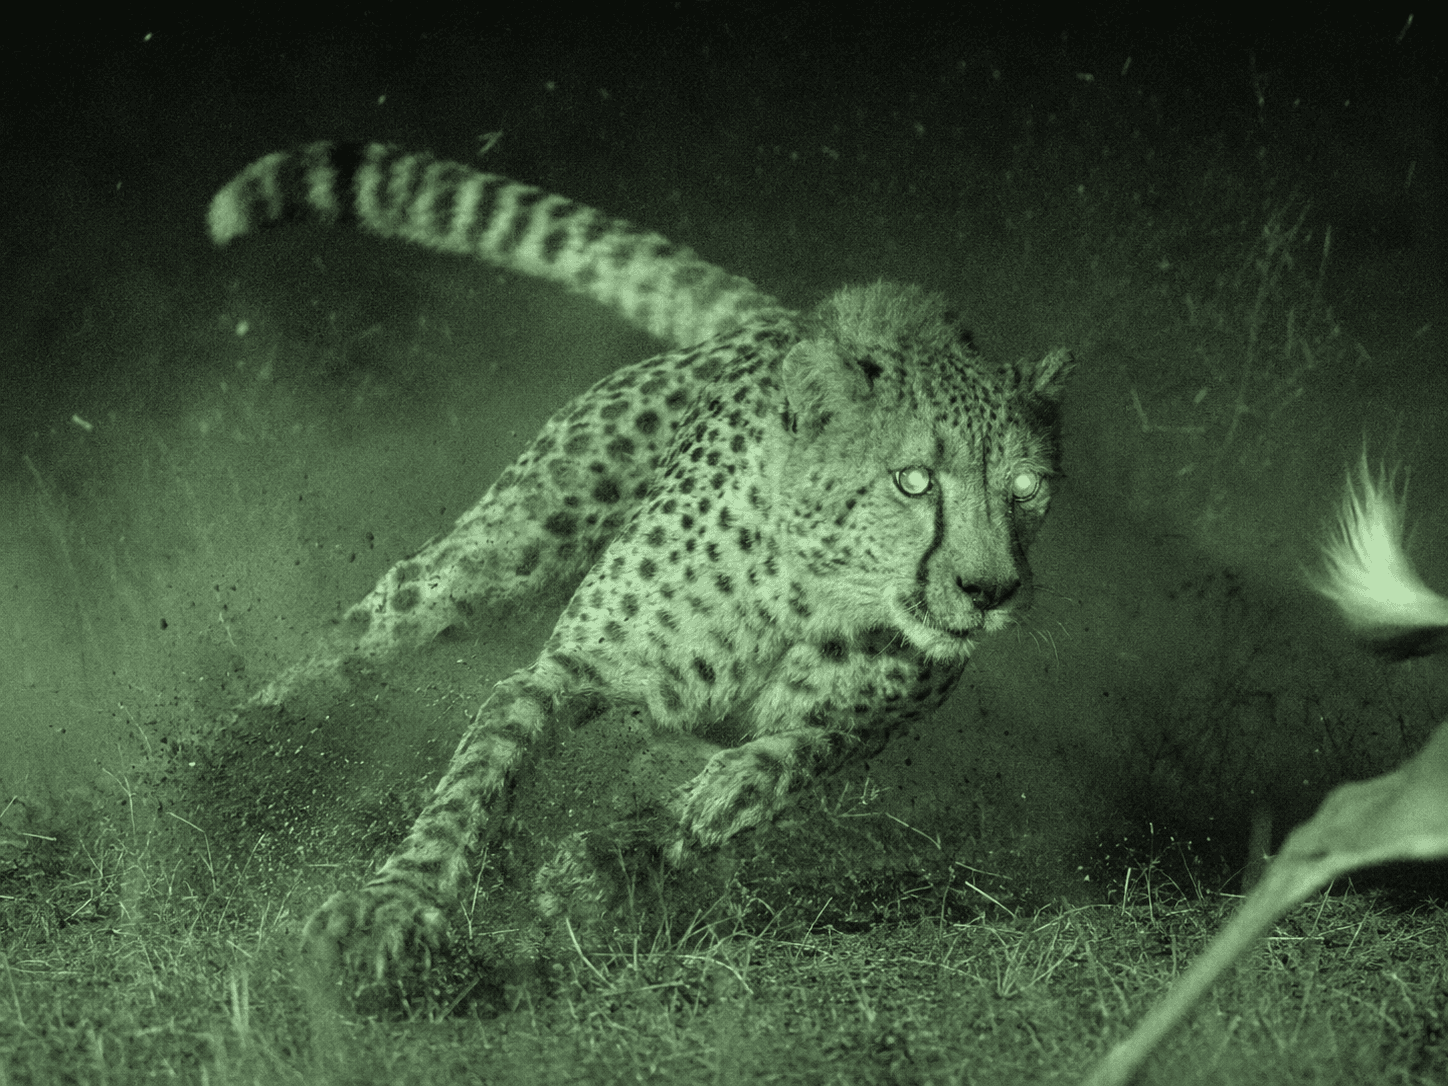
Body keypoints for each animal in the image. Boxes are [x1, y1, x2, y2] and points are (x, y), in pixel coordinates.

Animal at [208, 141, 1073, 992]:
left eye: (1027, 488)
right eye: (914, 480)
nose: (990, 591)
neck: (815, 592)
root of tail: (789, 322)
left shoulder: (848, 733)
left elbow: (762, 777)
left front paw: (608, 865)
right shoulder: (575, 667)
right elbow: (477, 779)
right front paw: (392, 908)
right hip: (500, 556)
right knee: (364, 634)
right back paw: (223, 763)